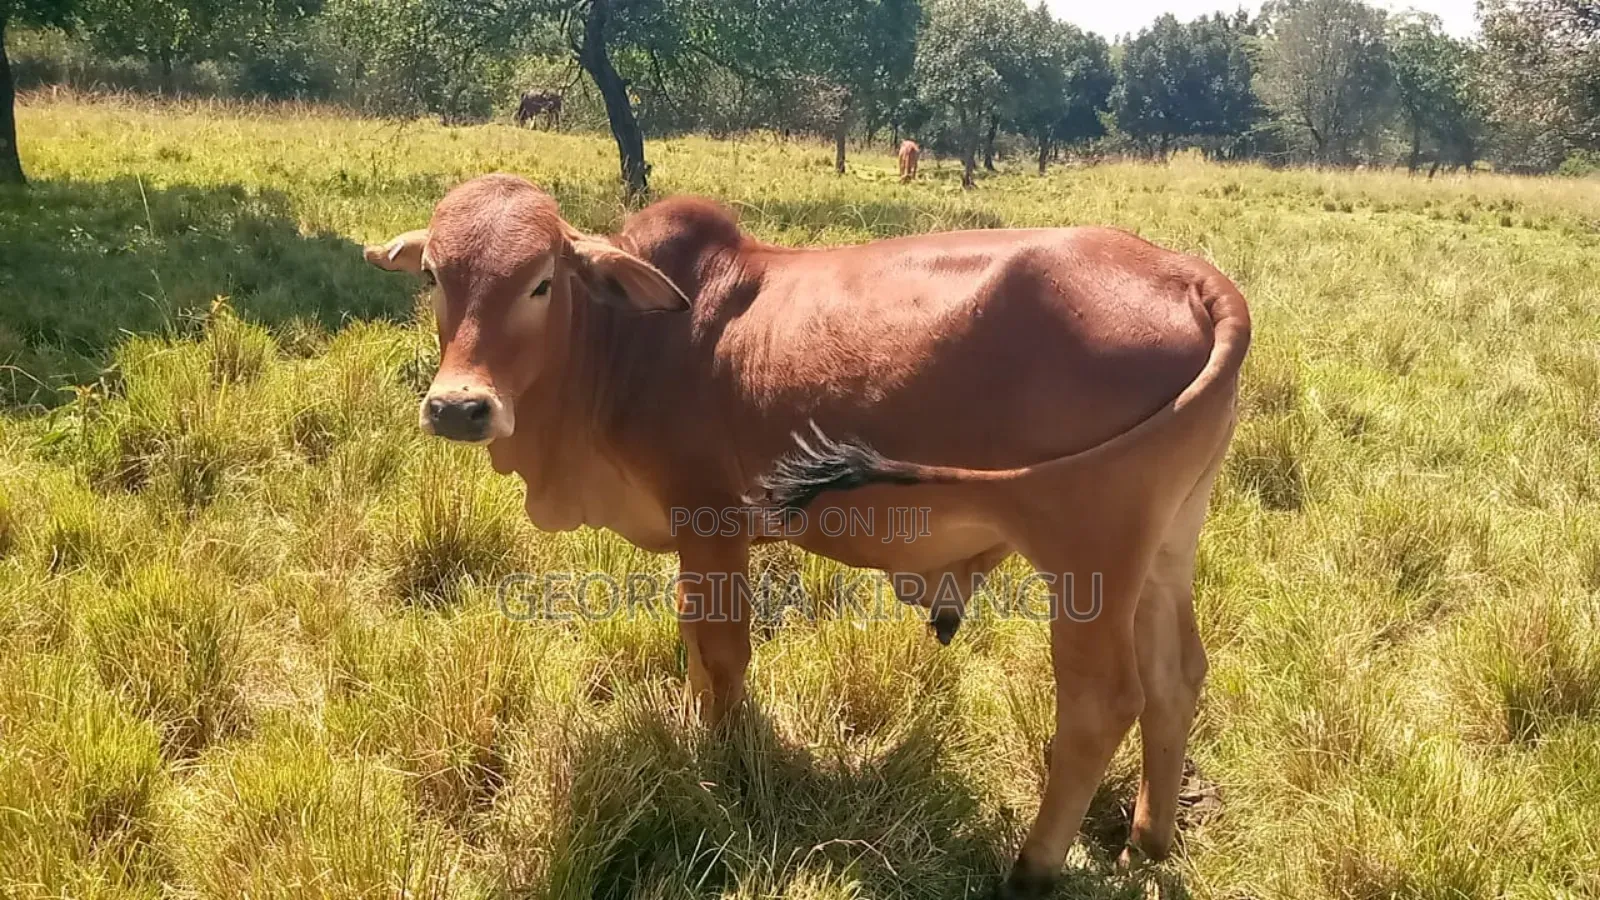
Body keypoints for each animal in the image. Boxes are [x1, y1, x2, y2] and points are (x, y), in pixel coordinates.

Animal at [363, 174, 1250, 897]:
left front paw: (723, 766)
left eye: (541, 283)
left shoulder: (710, 521)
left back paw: (1031, 867)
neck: (628, 346)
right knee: (1176, 678)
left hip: (1087, 556)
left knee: (1103, 701)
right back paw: (1148, 840)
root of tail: (1186, 272)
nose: (459, 407)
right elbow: (695, 646)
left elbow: (722, 652)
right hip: (1165, 546)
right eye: (435, 276)